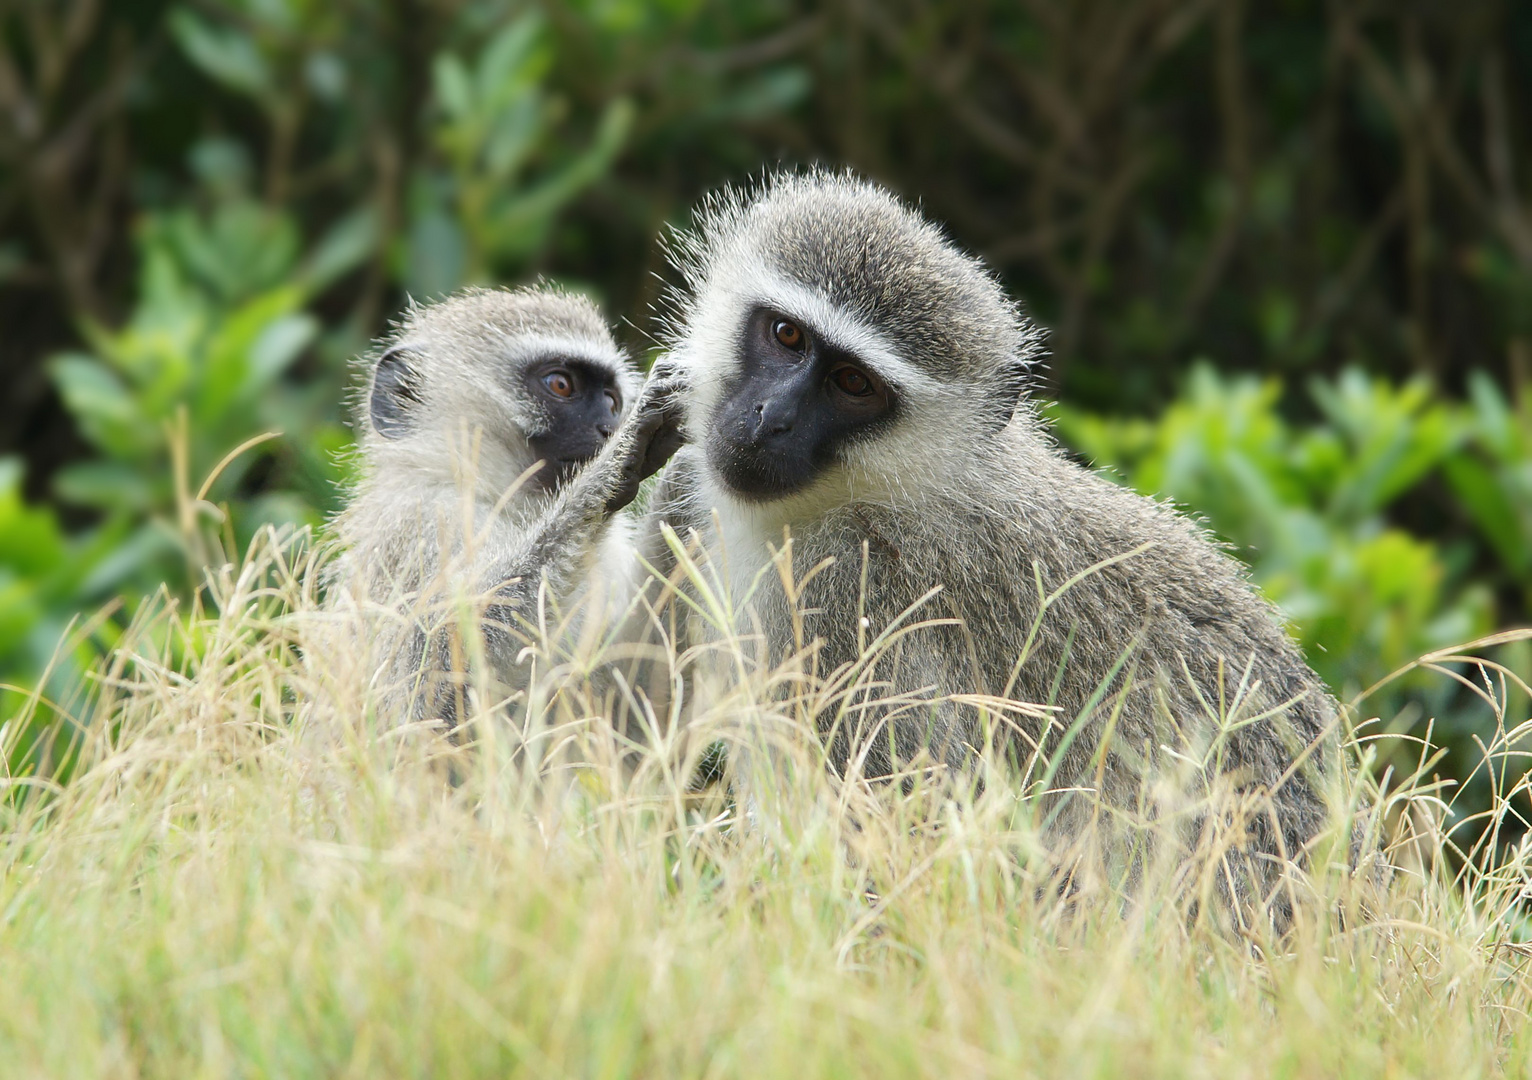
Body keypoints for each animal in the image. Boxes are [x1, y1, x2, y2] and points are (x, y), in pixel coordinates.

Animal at [333, 286, 683, 723]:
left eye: (612, 400)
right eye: (561, 385)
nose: (609, 427)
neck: (505, 504)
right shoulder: (424, 524)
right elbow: (428, 699)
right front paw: (612, 464)